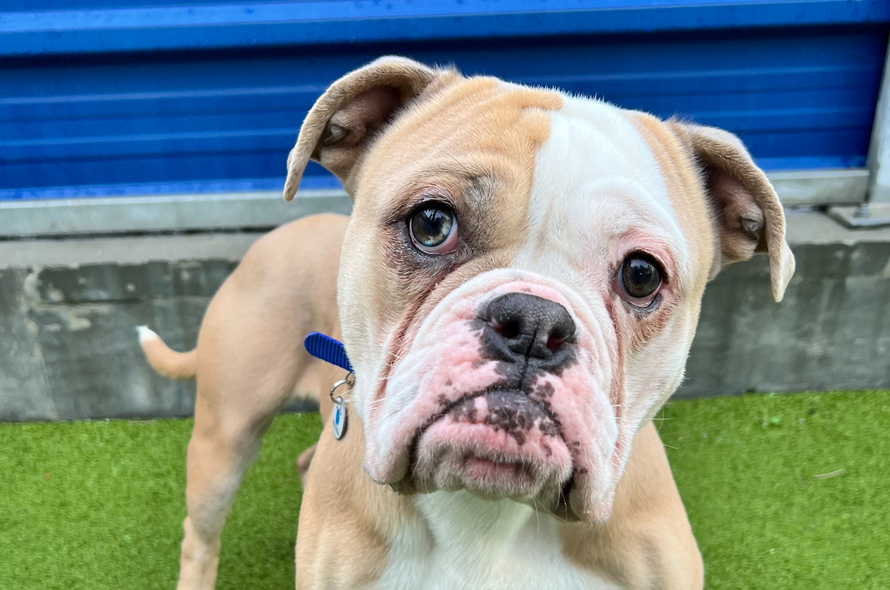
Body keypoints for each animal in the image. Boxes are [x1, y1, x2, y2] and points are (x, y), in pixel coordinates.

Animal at [142, 56, 796, 590]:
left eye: (642, 275)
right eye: (431, 222)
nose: (534, 323)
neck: (488, 508)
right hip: (225, 436)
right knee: (199, 535)